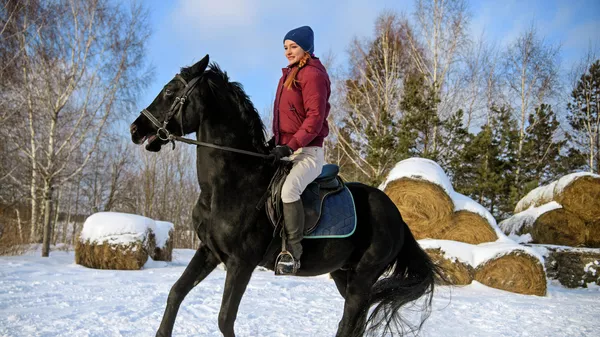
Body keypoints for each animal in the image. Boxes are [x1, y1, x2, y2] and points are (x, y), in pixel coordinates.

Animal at [131, 55, 440, 336]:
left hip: (363, 277)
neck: (231, 184)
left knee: (348, 323)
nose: (135, 129)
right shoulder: (209, 251)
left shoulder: (241, 263)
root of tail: (397, 215)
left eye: (169, 91)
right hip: (345, 275)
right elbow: (176, 293)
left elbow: (225, 319)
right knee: (357, 321)